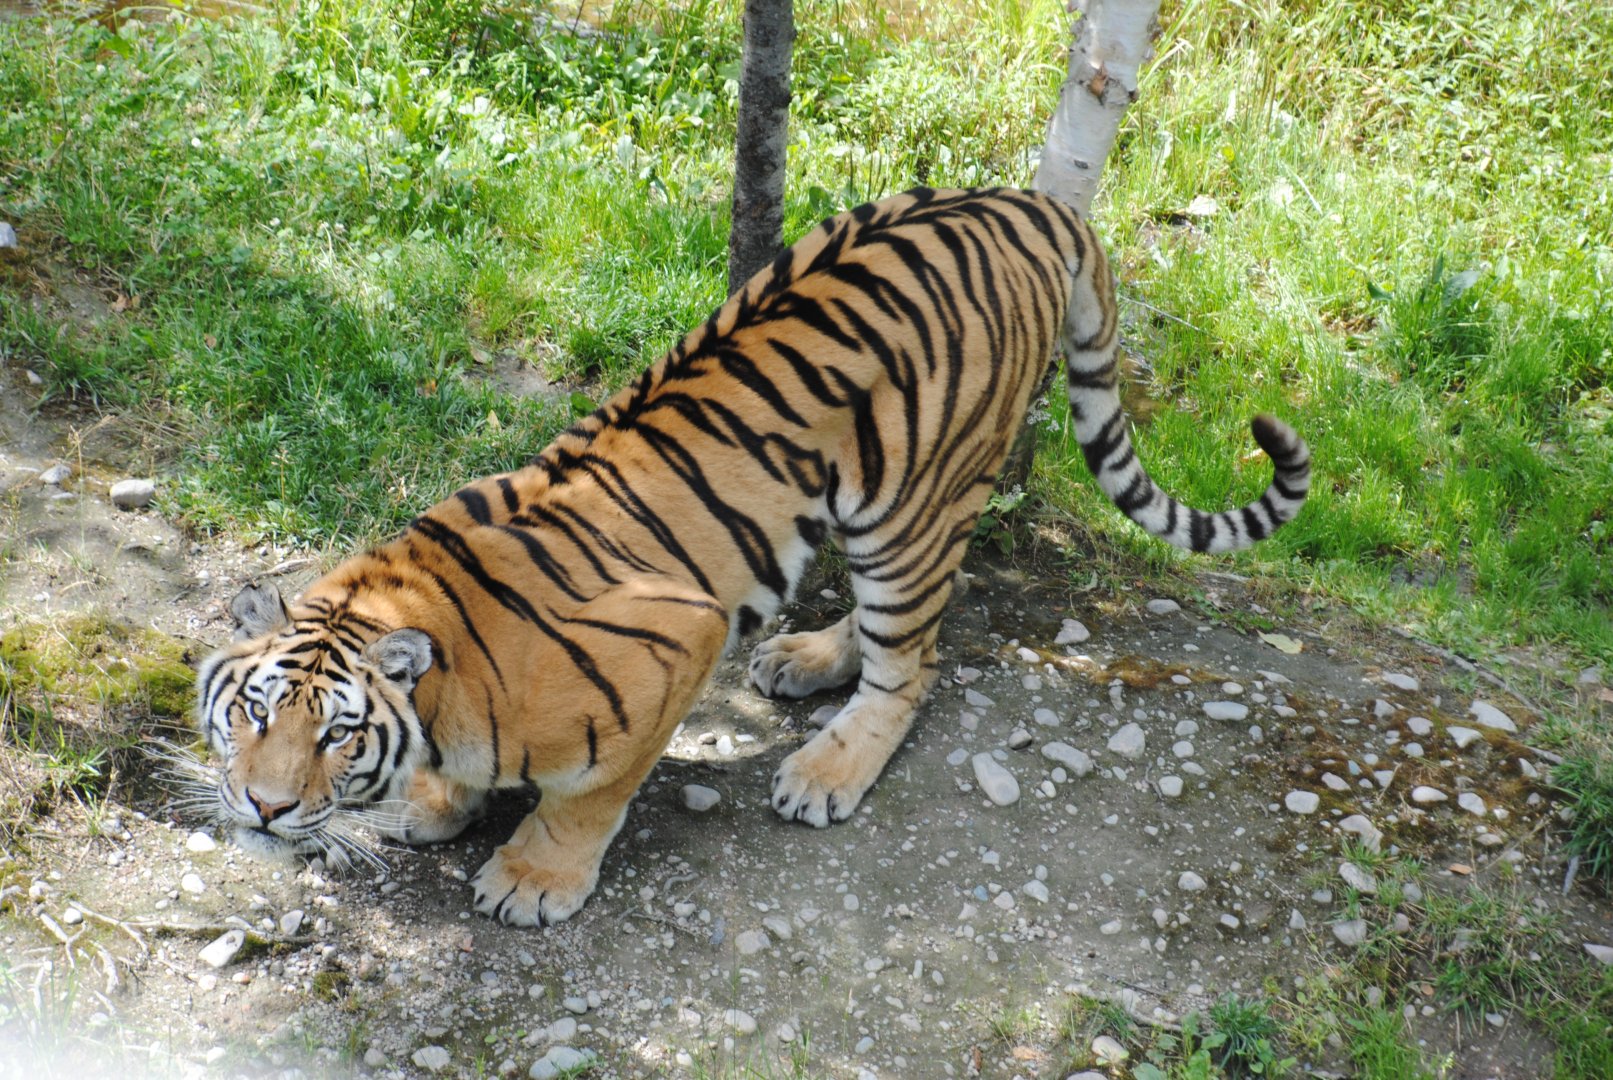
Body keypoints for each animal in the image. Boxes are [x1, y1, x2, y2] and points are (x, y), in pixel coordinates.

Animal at [194, 186, 1310, 927]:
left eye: (337, 734)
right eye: (252, 715)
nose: (264, 808)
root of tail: (1029, 201)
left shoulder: (671, 646)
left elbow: (585, 797)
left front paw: (533, 878)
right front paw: (437, 807)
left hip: (907, 502)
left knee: (914, 664)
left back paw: (827, 767)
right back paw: (807, 657)